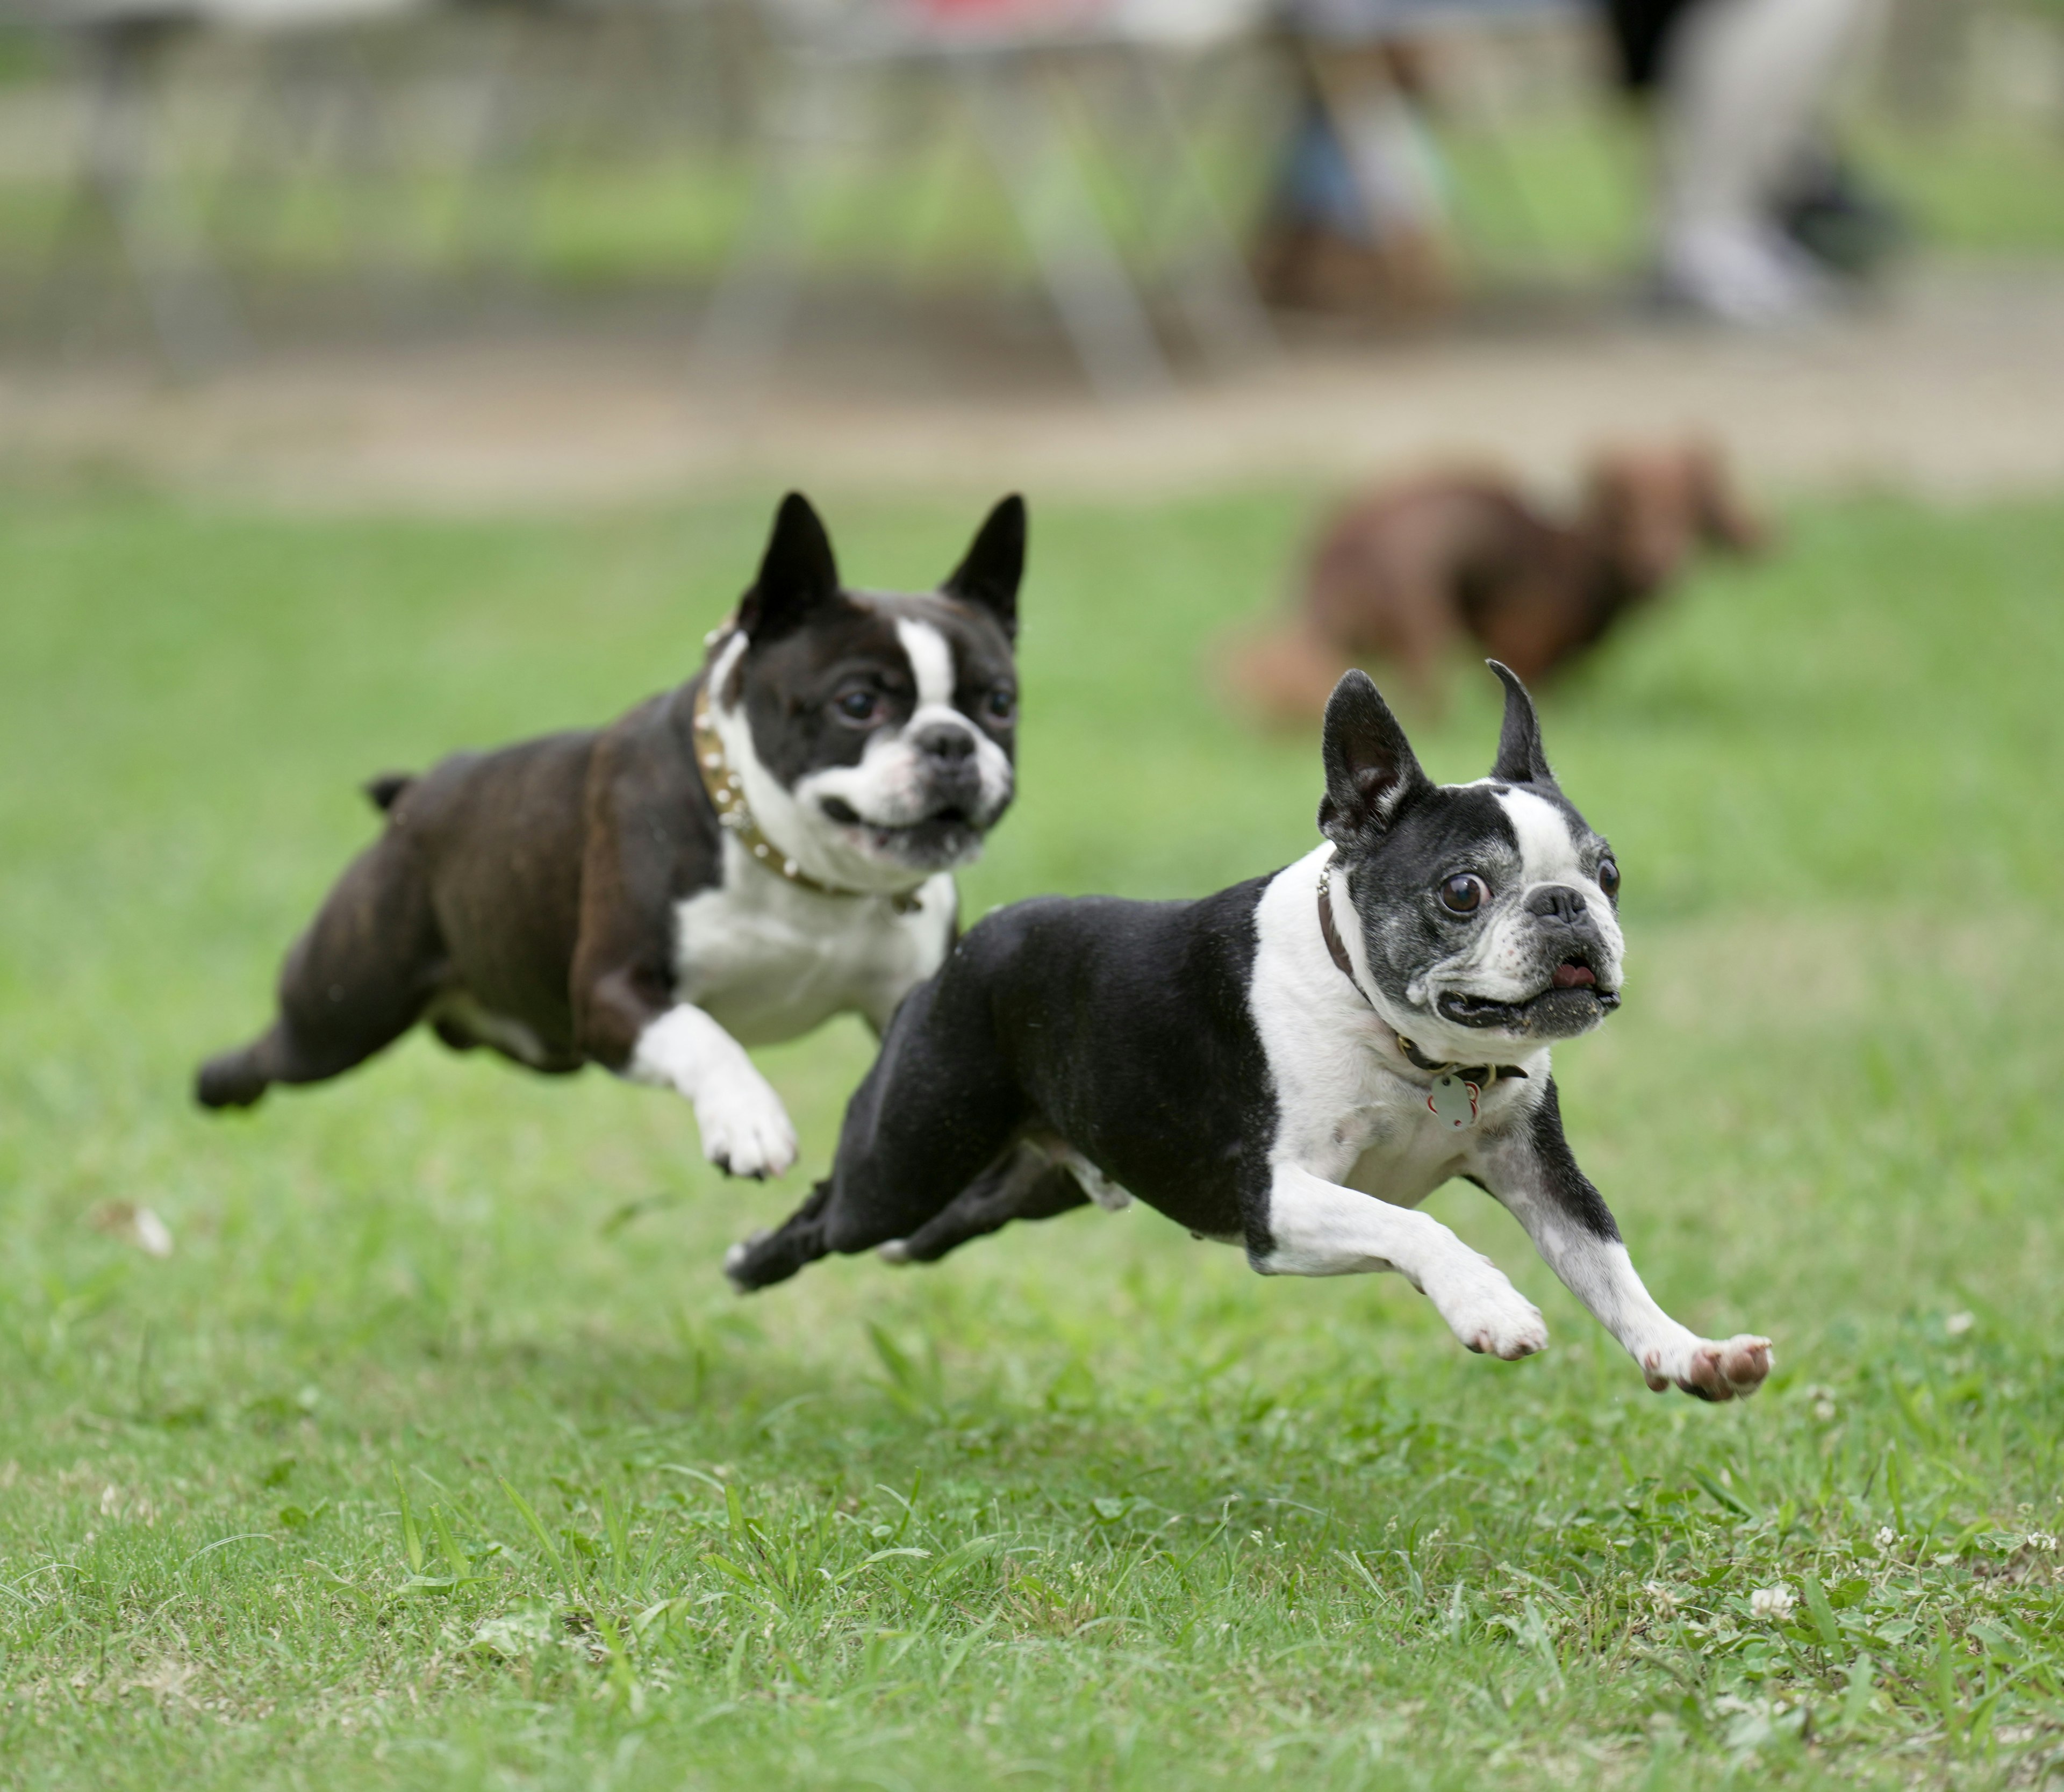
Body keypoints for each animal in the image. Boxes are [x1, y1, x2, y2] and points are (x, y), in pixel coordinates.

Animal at [194, 497, 1023, 1181]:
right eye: (857, 704)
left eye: (1000, 702)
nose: (952, 741)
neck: (794, 867)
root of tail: (418, 793)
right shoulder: (614, 991)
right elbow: (703, 1034)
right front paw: (748, 1120)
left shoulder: (910, 999)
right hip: (339, 1010)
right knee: (274, 1053)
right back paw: (215, 1083)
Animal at [726, 661, 1775, 1403]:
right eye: (1463, 889)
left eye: (1609, 873)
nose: (1567, 907)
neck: (1410, 1049)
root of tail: (969, 944)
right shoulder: (1277, 1199)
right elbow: (1418, 1222)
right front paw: (1488, 1301)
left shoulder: (1545, 1177)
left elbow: (1611, 1269)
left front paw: (1688, 1351)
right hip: (906, 1156)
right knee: (831, 1209)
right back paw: (749, 1259)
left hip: (1030, 1179)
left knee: (937, 1228)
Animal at [1213, 440, 1767, 722]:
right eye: (1628, 511)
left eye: (1689, 511)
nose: (1663, 567)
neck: (1571, 553)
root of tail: (1332, 555)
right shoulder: (1523, 644)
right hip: (1422, 627)